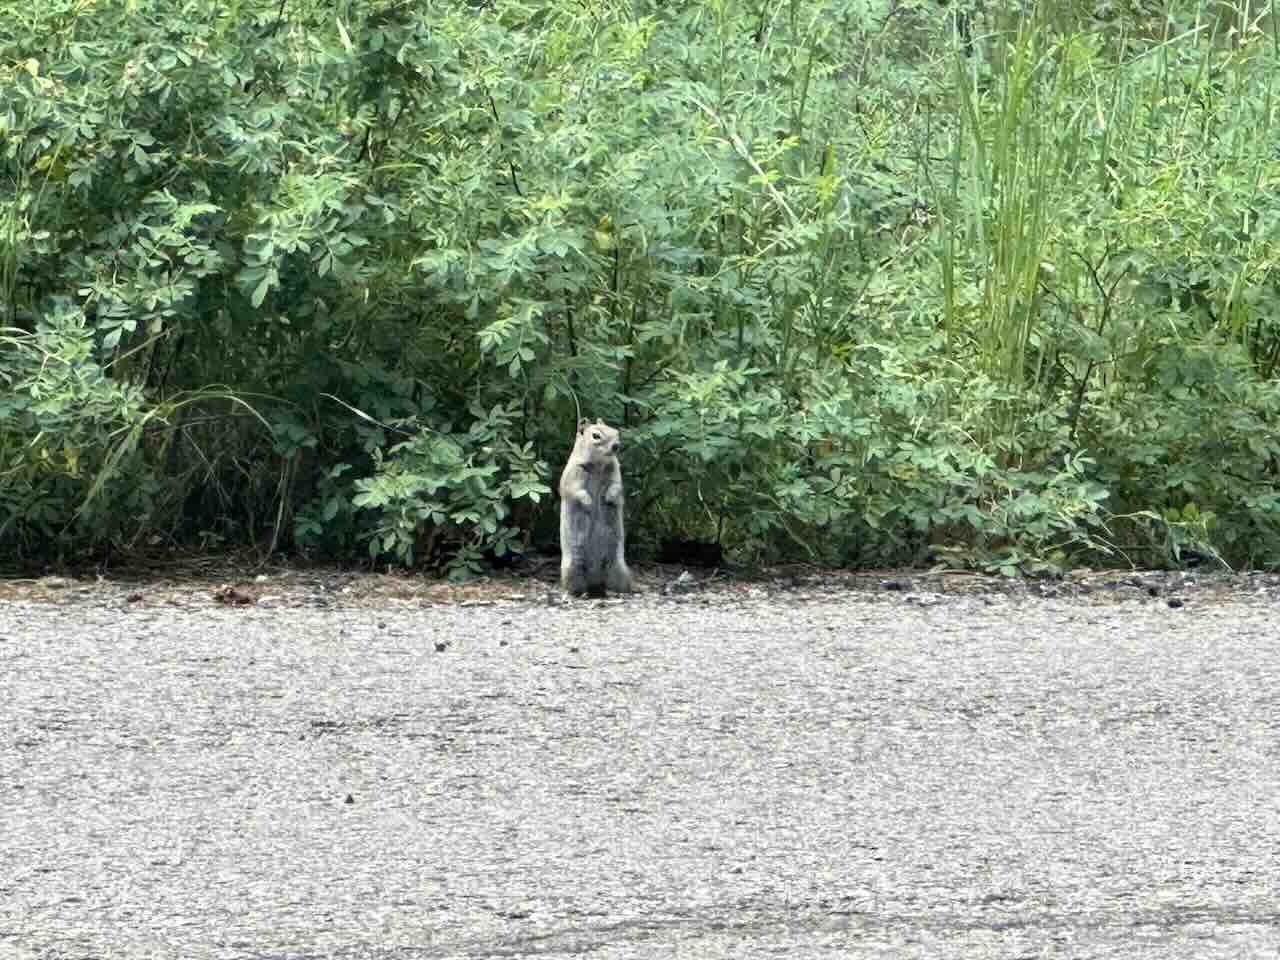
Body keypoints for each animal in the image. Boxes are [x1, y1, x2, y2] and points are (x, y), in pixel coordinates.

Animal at [558, 418, 635, 596]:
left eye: (616, 431)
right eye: (596, 436)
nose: (616, 446)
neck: (598, 465)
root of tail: (595, 581)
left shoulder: (615, 470)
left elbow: (616, 486)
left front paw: (609, 497)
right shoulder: (572, 475)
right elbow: (575, 490)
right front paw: (588, 501)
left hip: (619, 568)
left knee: (615, 585)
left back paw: (619, 592)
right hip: (572, 570)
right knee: (577, 586)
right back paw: (580, 593)